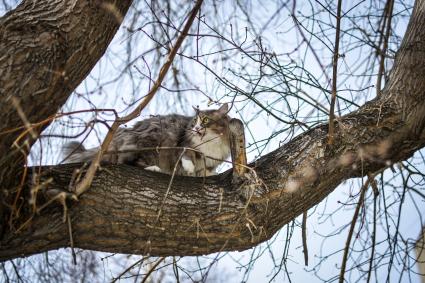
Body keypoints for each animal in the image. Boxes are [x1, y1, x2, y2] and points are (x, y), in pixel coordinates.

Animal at [62, 103, 232, 176]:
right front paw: (189, 167)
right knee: (128, 162)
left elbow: (206, 171)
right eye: (194, 122)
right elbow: (186, 154)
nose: (195, 128)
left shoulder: (211, 162)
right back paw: (154, 168)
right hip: (151, 140)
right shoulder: (181, 142)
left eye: (205, 120)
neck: (212, 143)